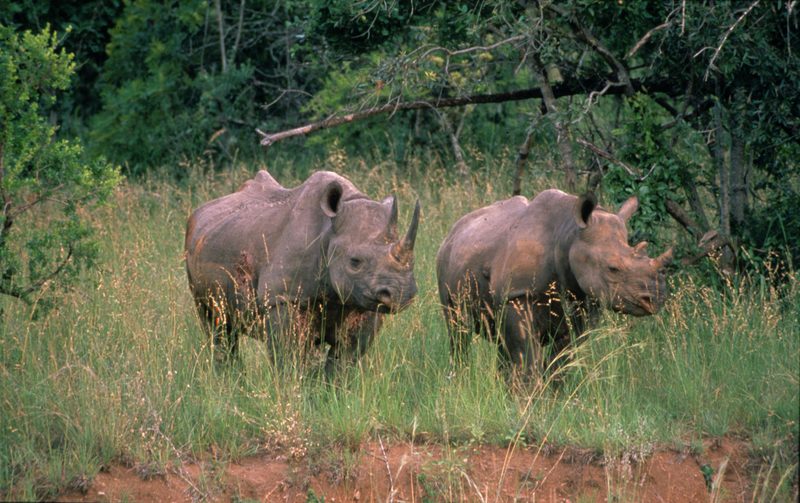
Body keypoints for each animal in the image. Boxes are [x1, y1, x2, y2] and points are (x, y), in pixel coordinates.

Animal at [185, 170, 419, 370]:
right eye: (355, 262)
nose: (402, 294)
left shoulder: (363, 302)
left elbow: (344, 362)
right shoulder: (282, 298)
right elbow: (290, 359)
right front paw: (295, 392)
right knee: (217, 326)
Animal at [436, 189, 672, 378]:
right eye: (612, 269)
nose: (656, 298)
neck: (568, 236)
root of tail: (455, 228)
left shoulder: (582, 303)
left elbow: (560, 363)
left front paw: (550, 401)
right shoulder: (517, 295)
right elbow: (527, 359)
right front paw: (527, 402)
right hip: (444, 261)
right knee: (458, 330)